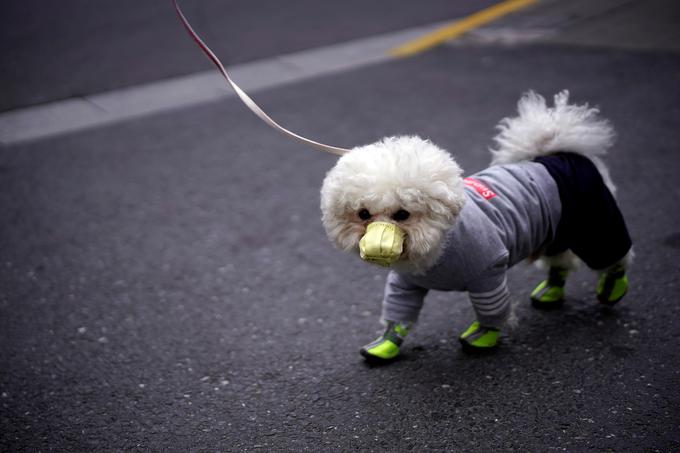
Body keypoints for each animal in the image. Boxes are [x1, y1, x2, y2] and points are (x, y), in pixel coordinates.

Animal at [318, 90, 632, 362]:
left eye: (402, 214)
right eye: (363, 214)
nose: (375, 246)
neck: (438, 249)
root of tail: (556, 154)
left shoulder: (488, 276)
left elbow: (491, 312)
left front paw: (482, 338)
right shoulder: (405, 282)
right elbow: (398, 313)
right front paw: (386, 344)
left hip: (593, 223)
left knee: (613, 255)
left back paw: (612, 286)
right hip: (555, 231)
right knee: (560, 261)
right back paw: (551, 291)